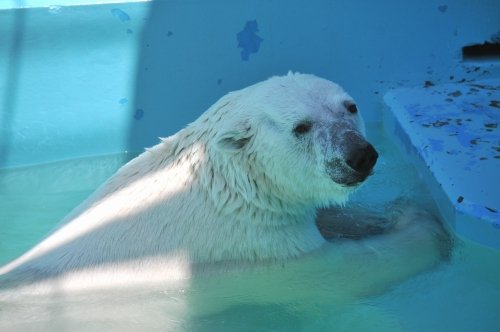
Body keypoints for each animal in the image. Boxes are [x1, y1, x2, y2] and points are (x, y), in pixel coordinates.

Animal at [0, 74, 448, 296]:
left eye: (349, 107)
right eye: (301, 127)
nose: (360, 155)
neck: (227, 187)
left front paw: (393, 210)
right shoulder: (259, 253)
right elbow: (351, 266)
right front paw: (424, 226)